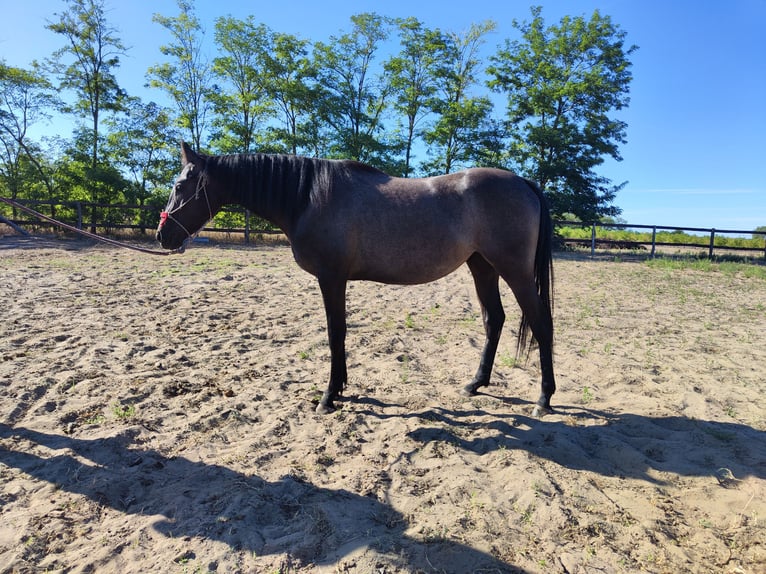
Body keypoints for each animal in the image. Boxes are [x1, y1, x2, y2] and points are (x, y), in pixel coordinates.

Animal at [157, 142, 556, 416]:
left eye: (180, 186)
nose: (164, 235)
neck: (307, 196)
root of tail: (523, 182)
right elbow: (341, 332)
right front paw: (341, 388)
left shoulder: (331, 278)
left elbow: (336, 332)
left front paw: (329, 396)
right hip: (482, 266)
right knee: (494, 320)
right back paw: (475, 384)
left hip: (514, 270)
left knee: (541, 323)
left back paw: (544, 398)